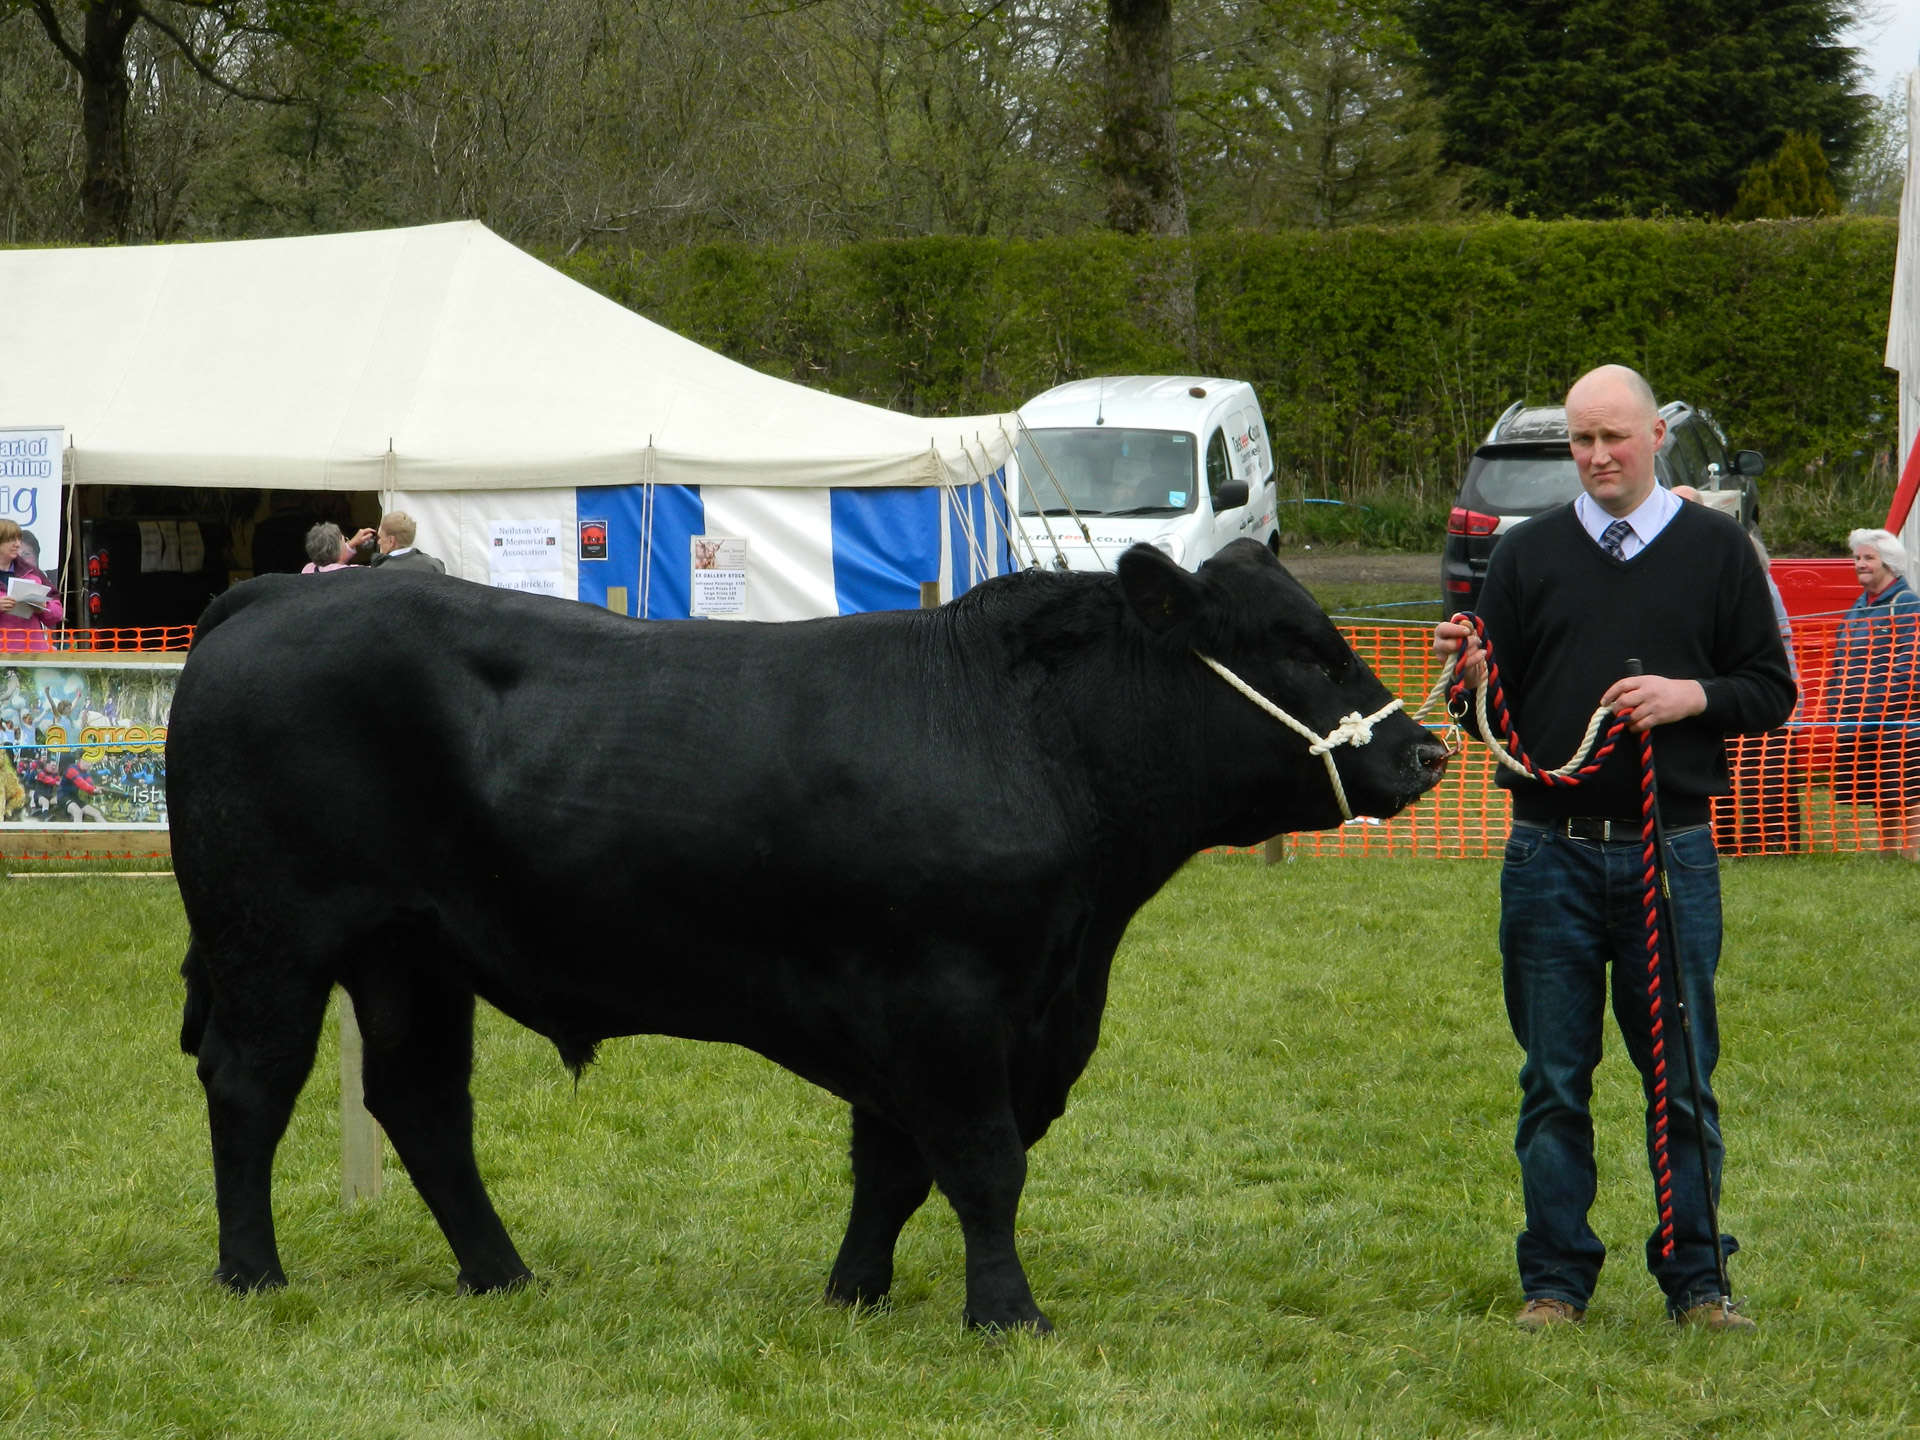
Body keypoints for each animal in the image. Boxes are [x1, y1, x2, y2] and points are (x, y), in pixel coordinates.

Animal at [172, 541, 1443, 1328]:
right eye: (1299, 646)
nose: (1427, 751)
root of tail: (272, 597)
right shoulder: (946, 999)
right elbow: (983, 1162)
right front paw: (1008, 1314)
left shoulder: (949, 1012)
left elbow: (893, 1168)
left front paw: (855, 1296)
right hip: (271, 937)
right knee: (250, 1086)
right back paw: (252, 1275)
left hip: (413, 950)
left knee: (424, 1105)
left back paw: (504, 1276)